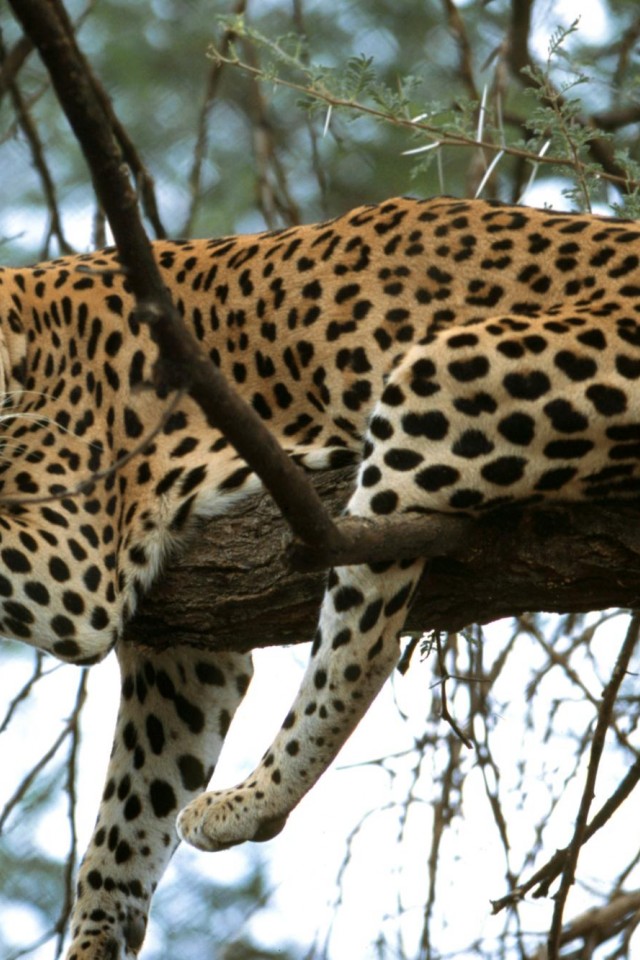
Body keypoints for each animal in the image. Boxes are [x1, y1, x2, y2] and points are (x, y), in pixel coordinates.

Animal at [2, 195, 640, 958]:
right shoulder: (183, 653)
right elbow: (129, 811)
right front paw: (98, 935)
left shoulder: (71, 563)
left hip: (439, 378)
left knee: (364, 647)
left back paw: (251, 801)